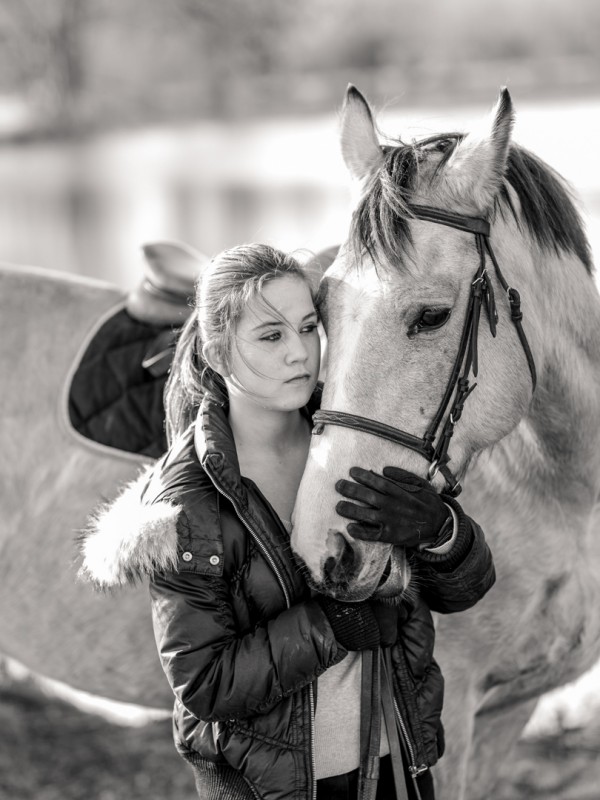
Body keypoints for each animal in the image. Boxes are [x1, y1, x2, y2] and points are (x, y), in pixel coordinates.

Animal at [290, 86, 600, 799]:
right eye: (322, 307)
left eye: (431, 316)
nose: (324, 548)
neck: (562, 494)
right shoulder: (453, 706)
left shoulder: (508, 710)